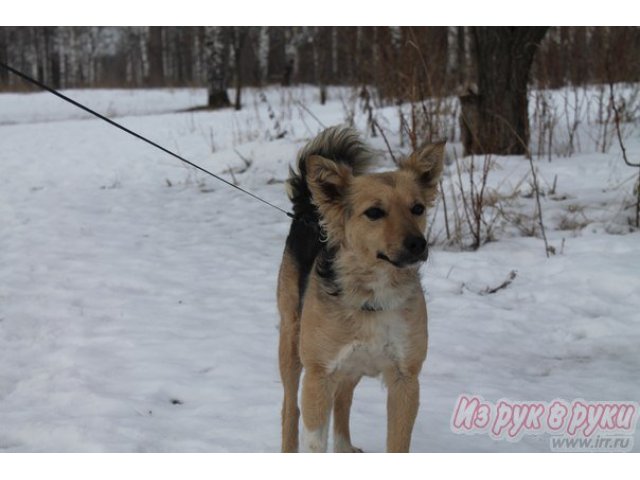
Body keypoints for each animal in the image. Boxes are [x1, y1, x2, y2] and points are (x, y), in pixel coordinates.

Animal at [276, 125, 444, 452]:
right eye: (375, 213)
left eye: (417, 208)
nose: (418, 244)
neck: (373, 293)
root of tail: (307, 208)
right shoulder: (318, 375)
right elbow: (313, 440)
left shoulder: (406, 379)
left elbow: (397, 444)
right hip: (291, 340)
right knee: (290, 408)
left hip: (351, 366)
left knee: (343, 401)